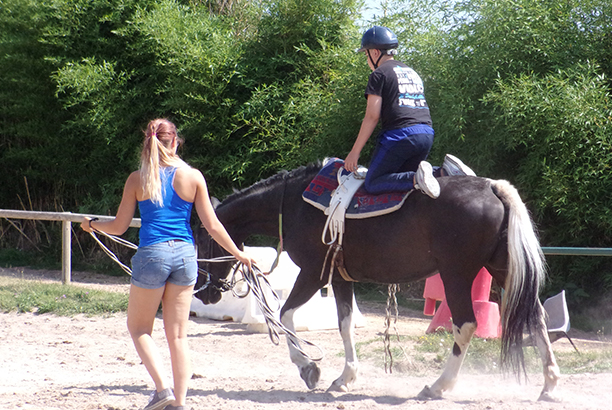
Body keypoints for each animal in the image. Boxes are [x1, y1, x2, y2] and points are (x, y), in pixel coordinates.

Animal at [195, 163, 560, 400]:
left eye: (202, 238)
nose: (204, 292)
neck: (294, 203)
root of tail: (494, 188)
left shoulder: (314, 273)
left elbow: (284, 315)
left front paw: (308, 367)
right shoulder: (340, 277)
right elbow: (344, 324)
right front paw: (344, 378)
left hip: (457, 274)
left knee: (466, 325)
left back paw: (437, 386)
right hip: (501, 268)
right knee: (537, 316)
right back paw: (550, 384)